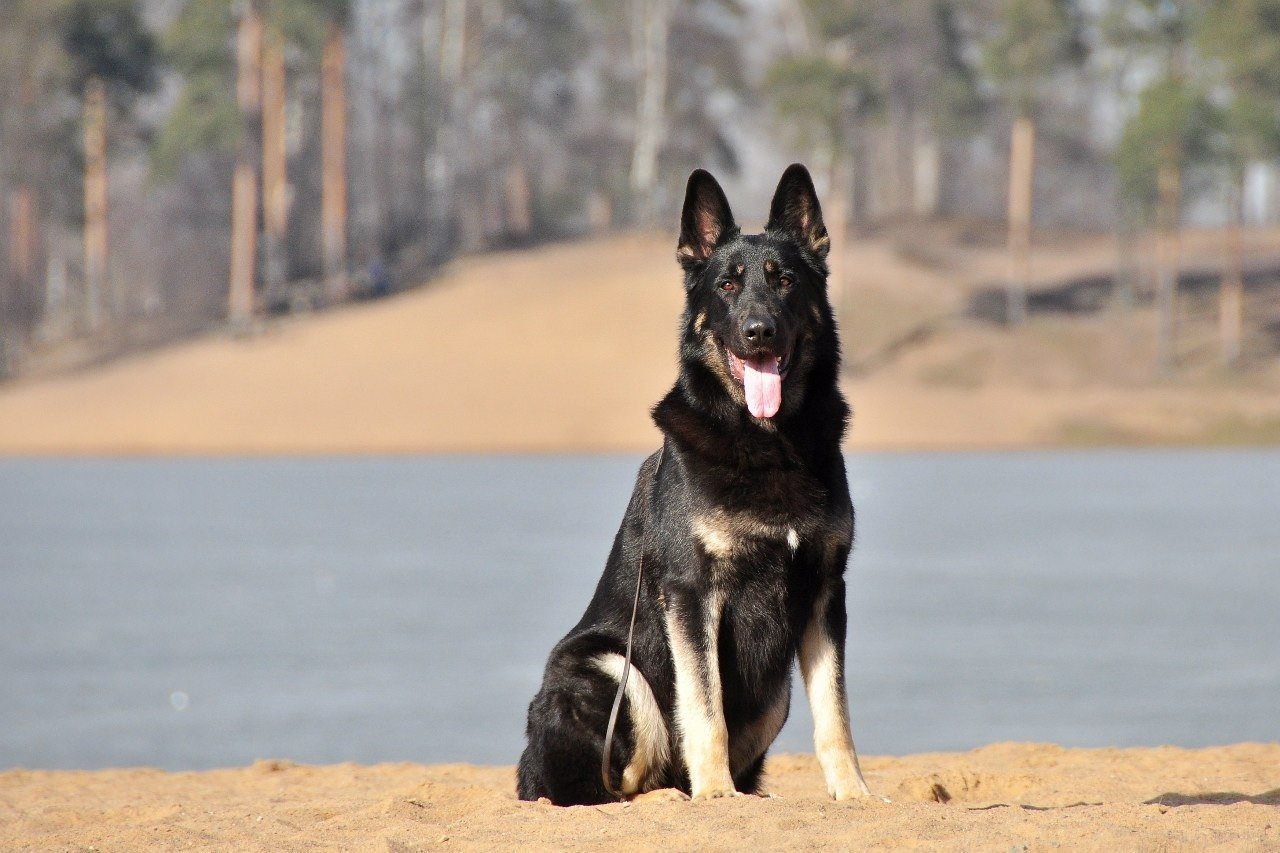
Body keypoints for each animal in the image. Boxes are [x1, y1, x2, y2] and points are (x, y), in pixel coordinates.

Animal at [514, 162, 875, 799]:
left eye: (785, 281)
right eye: (727, 286)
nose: (759, 332)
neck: (767, 442)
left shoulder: (825, 591)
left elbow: (835, 713)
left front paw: (852, 793)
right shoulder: (691, 593)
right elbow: (704, 708)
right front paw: (715, 795)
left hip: (774, 694)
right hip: (611, 668)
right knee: (626, 776)